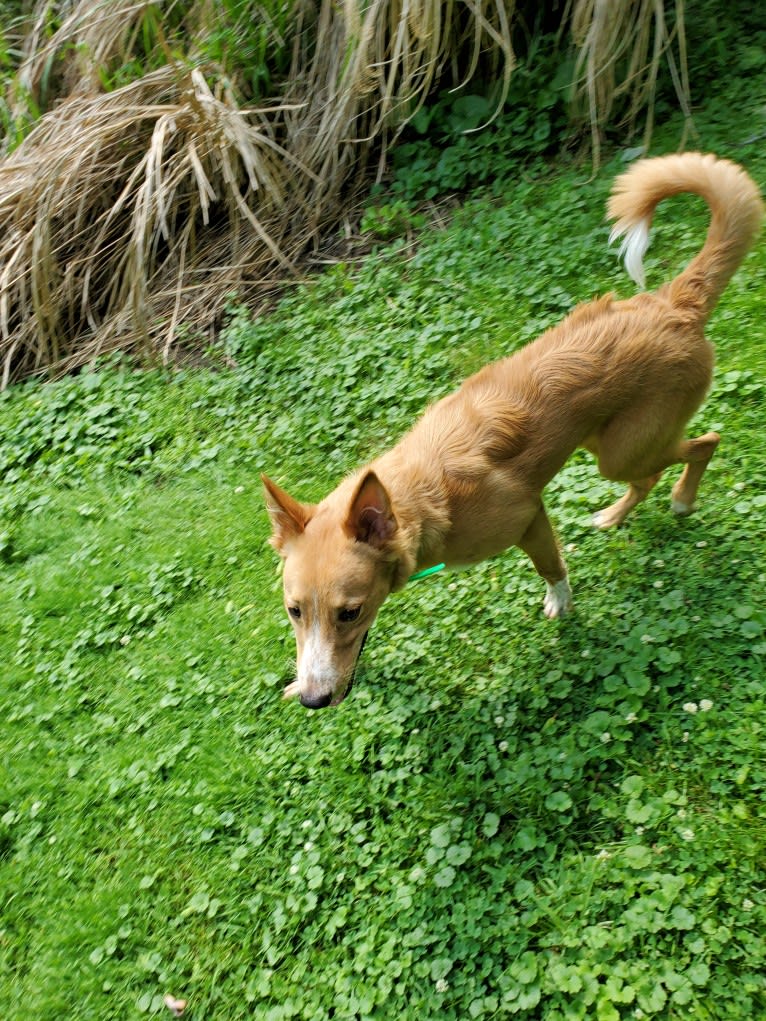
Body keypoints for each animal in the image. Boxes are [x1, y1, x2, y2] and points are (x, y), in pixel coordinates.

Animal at [263, 153, 763, 710]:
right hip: (610, 444)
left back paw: (682, 500)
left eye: (348, 612)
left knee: (703, 445)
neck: (421, 497)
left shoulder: (527, 516)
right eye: (294, 611)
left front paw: (560, 603)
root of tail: (674, 305)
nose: (313, 700)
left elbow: (552, 566)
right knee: (649, 476)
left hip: (624, 449)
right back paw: (614, 516)